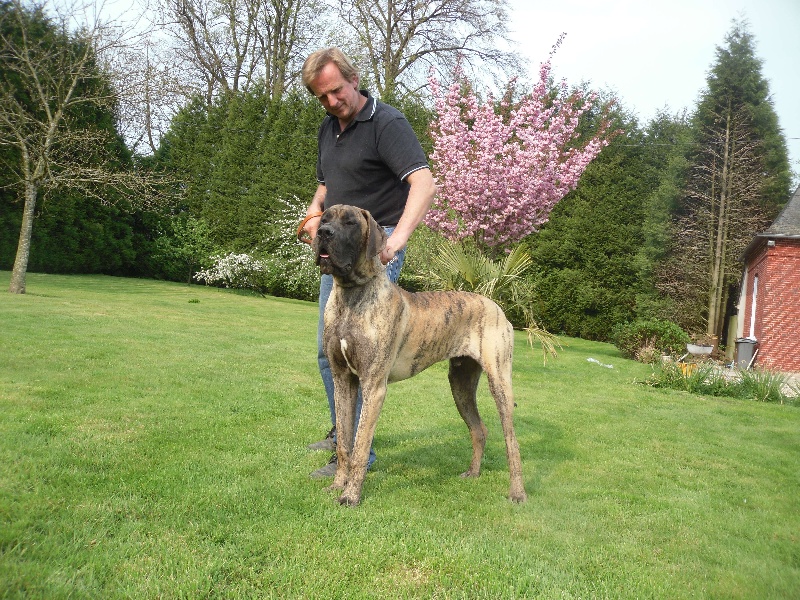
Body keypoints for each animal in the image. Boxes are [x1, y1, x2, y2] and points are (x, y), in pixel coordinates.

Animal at [313, 204, 526, 506]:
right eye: (324, 218)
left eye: (351, 222)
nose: (322, 233)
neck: (352, 294)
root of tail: (495, 306)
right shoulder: (343, 380)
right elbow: (345, 442)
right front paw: (336, 486)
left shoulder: (373, 385)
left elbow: (361, 446)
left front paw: (351, 496)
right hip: (460, 383)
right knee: (479, 429)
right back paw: (473, 473)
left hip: (499, 381)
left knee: (511, 441)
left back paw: (517, 493)